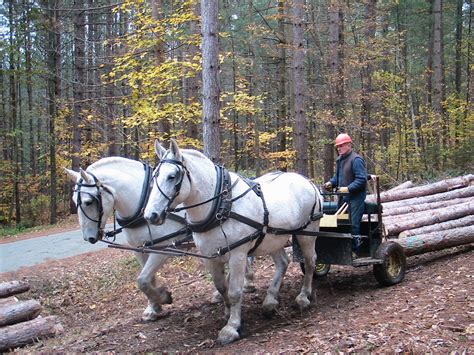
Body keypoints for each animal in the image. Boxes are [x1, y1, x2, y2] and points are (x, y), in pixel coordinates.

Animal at [143, 140, 322, 346]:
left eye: (172, 176)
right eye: (154, 176)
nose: (150, 215)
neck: (221, 206)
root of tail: (308, 181)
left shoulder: (238, 254)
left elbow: (235, 291)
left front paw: (232, 327)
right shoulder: (210, 256)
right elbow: (222, 287)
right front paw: (228, 312)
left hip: (307, 233)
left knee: (310, 261)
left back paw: (303, 297)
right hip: (273, 238)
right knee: (282, 263)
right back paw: (270, 301)